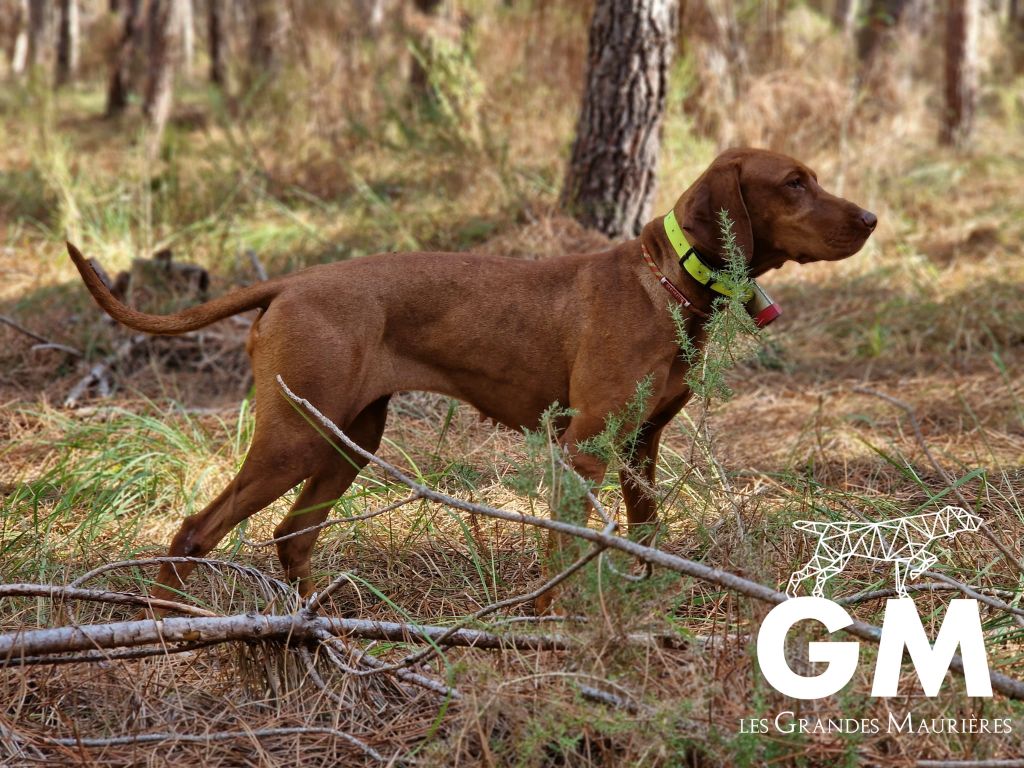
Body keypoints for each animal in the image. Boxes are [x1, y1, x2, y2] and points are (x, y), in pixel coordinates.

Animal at [68, 147, 876, 610]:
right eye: (794, 183)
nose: (871, 218)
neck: (666, 280)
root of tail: (290, 284)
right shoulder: (583, 447)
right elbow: (562, 553)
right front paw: (550, 633)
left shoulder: (641, 445)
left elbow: (648, 538)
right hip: (292, 440)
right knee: (194, 531)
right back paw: (171, 628)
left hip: (350, 440)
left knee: (294, 537)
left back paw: (318, 629)